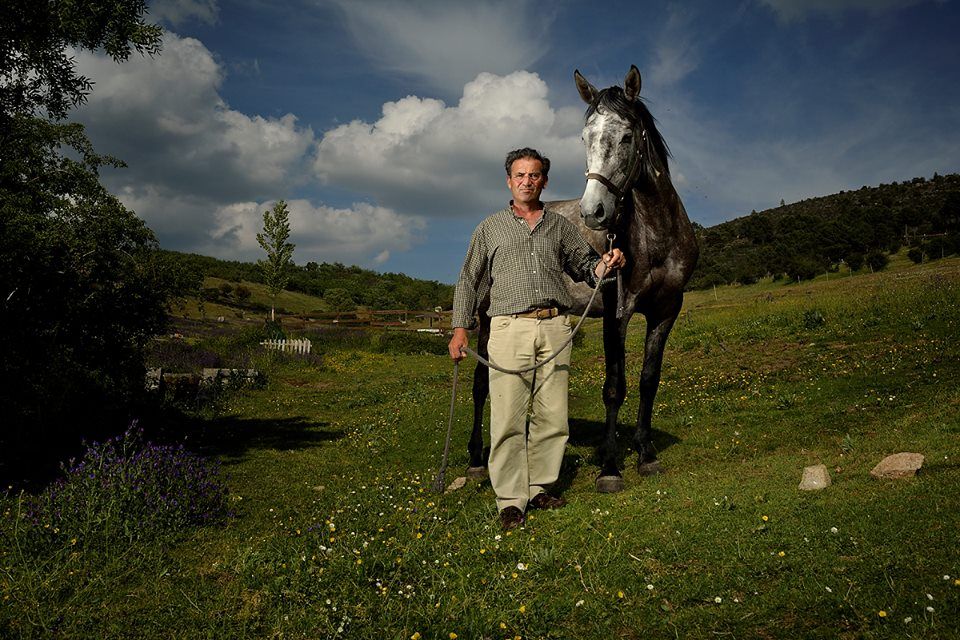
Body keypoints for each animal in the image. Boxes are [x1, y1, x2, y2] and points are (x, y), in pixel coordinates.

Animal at [466, 65, 699, 493]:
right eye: (584, 138)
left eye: (627, 136)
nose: (595, 212)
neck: (656, 234)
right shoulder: (616, 314)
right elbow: (614, 387)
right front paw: (609, 467)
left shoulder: (666, 311)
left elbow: (648, 380)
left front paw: (646, 454)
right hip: (487, 321)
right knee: (479, 384)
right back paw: (476, 459)